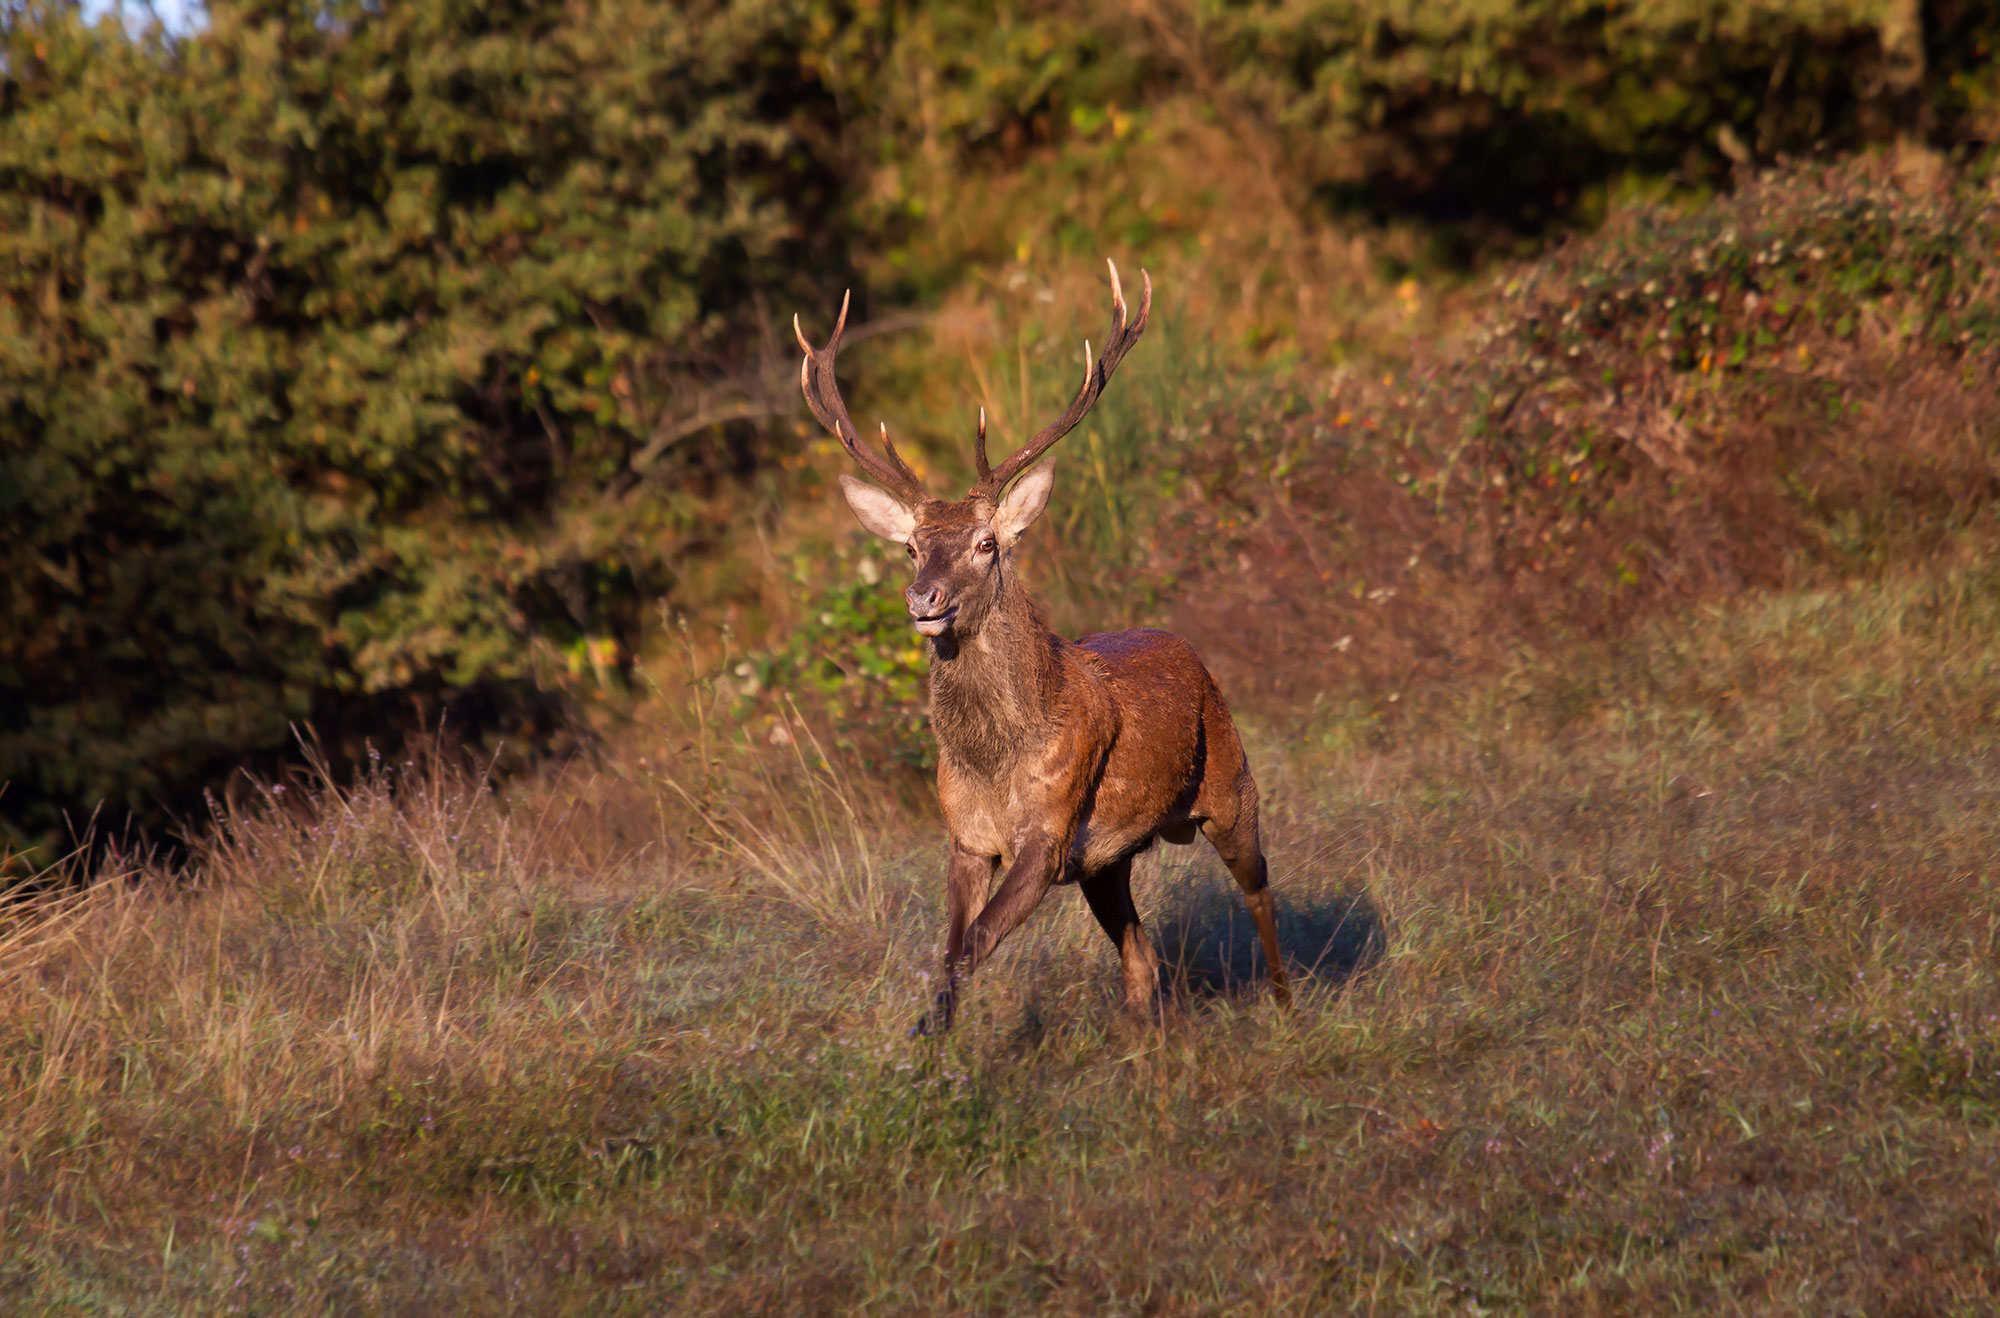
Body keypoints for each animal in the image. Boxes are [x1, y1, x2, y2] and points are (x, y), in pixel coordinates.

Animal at [794, 262, 1288, 1035]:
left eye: (985, 543)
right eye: (910, 547)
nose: (923, 599)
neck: (994, 759)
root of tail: (1191, 651)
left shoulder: (1050, 831)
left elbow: (973, 947)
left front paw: (923, 1042)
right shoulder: (967, 839)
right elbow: (951, 953)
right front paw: (930, 1040)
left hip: (1232, 786)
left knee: (1261, 890)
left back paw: (1287, 1007)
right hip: (1108, 862)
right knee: (1141, 956)